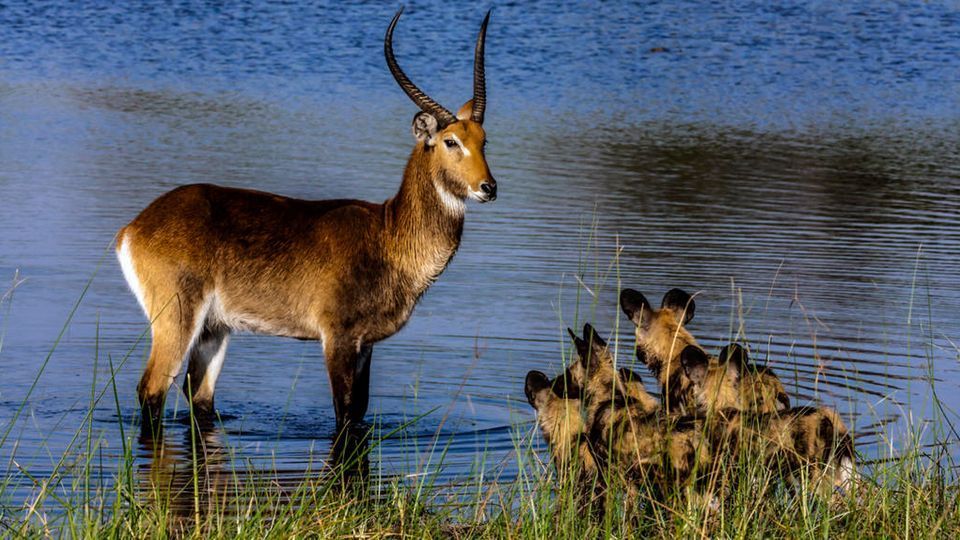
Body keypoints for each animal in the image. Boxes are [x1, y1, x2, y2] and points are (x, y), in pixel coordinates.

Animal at [114, 8, 496, 430]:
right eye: (450, 141)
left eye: (484, 140)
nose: (488, 187)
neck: (388, 235)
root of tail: (134, 226)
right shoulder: (338, 339)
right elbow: (344, 416)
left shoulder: (366, 345)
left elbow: (358, 411)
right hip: (177, 319)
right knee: (151, 391)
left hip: (214, 329)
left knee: (198, 397)